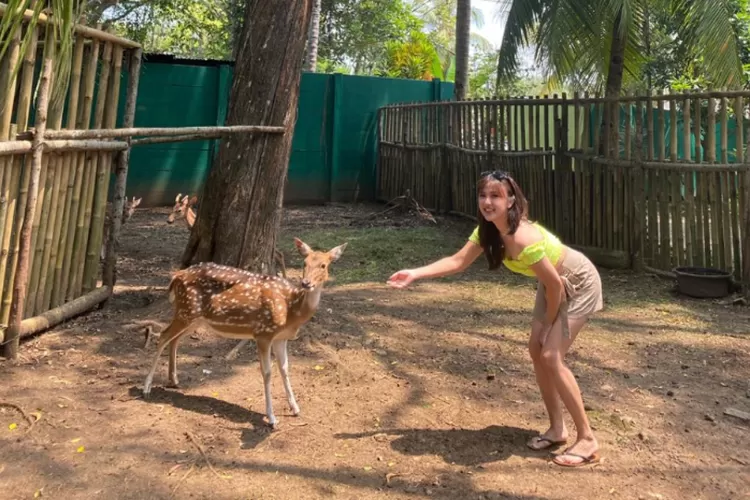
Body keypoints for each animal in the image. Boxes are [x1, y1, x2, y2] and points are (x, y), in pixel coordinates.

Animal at [142, 236, 348, 428]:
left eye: (323, 265)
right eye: (304, 263)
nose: (306, 283)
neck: (291, 310)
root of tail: (176, 276)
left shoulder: (281, 338)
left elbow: (285, 368)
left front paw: (296, 408)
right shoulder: (263, 333)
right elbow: (267, 372)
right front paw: (271, 418)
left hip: (193, 317)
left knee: (174, 339)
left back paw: (174, 381)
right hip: (187, 310)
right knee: (163, 336)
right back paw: (146, 387)